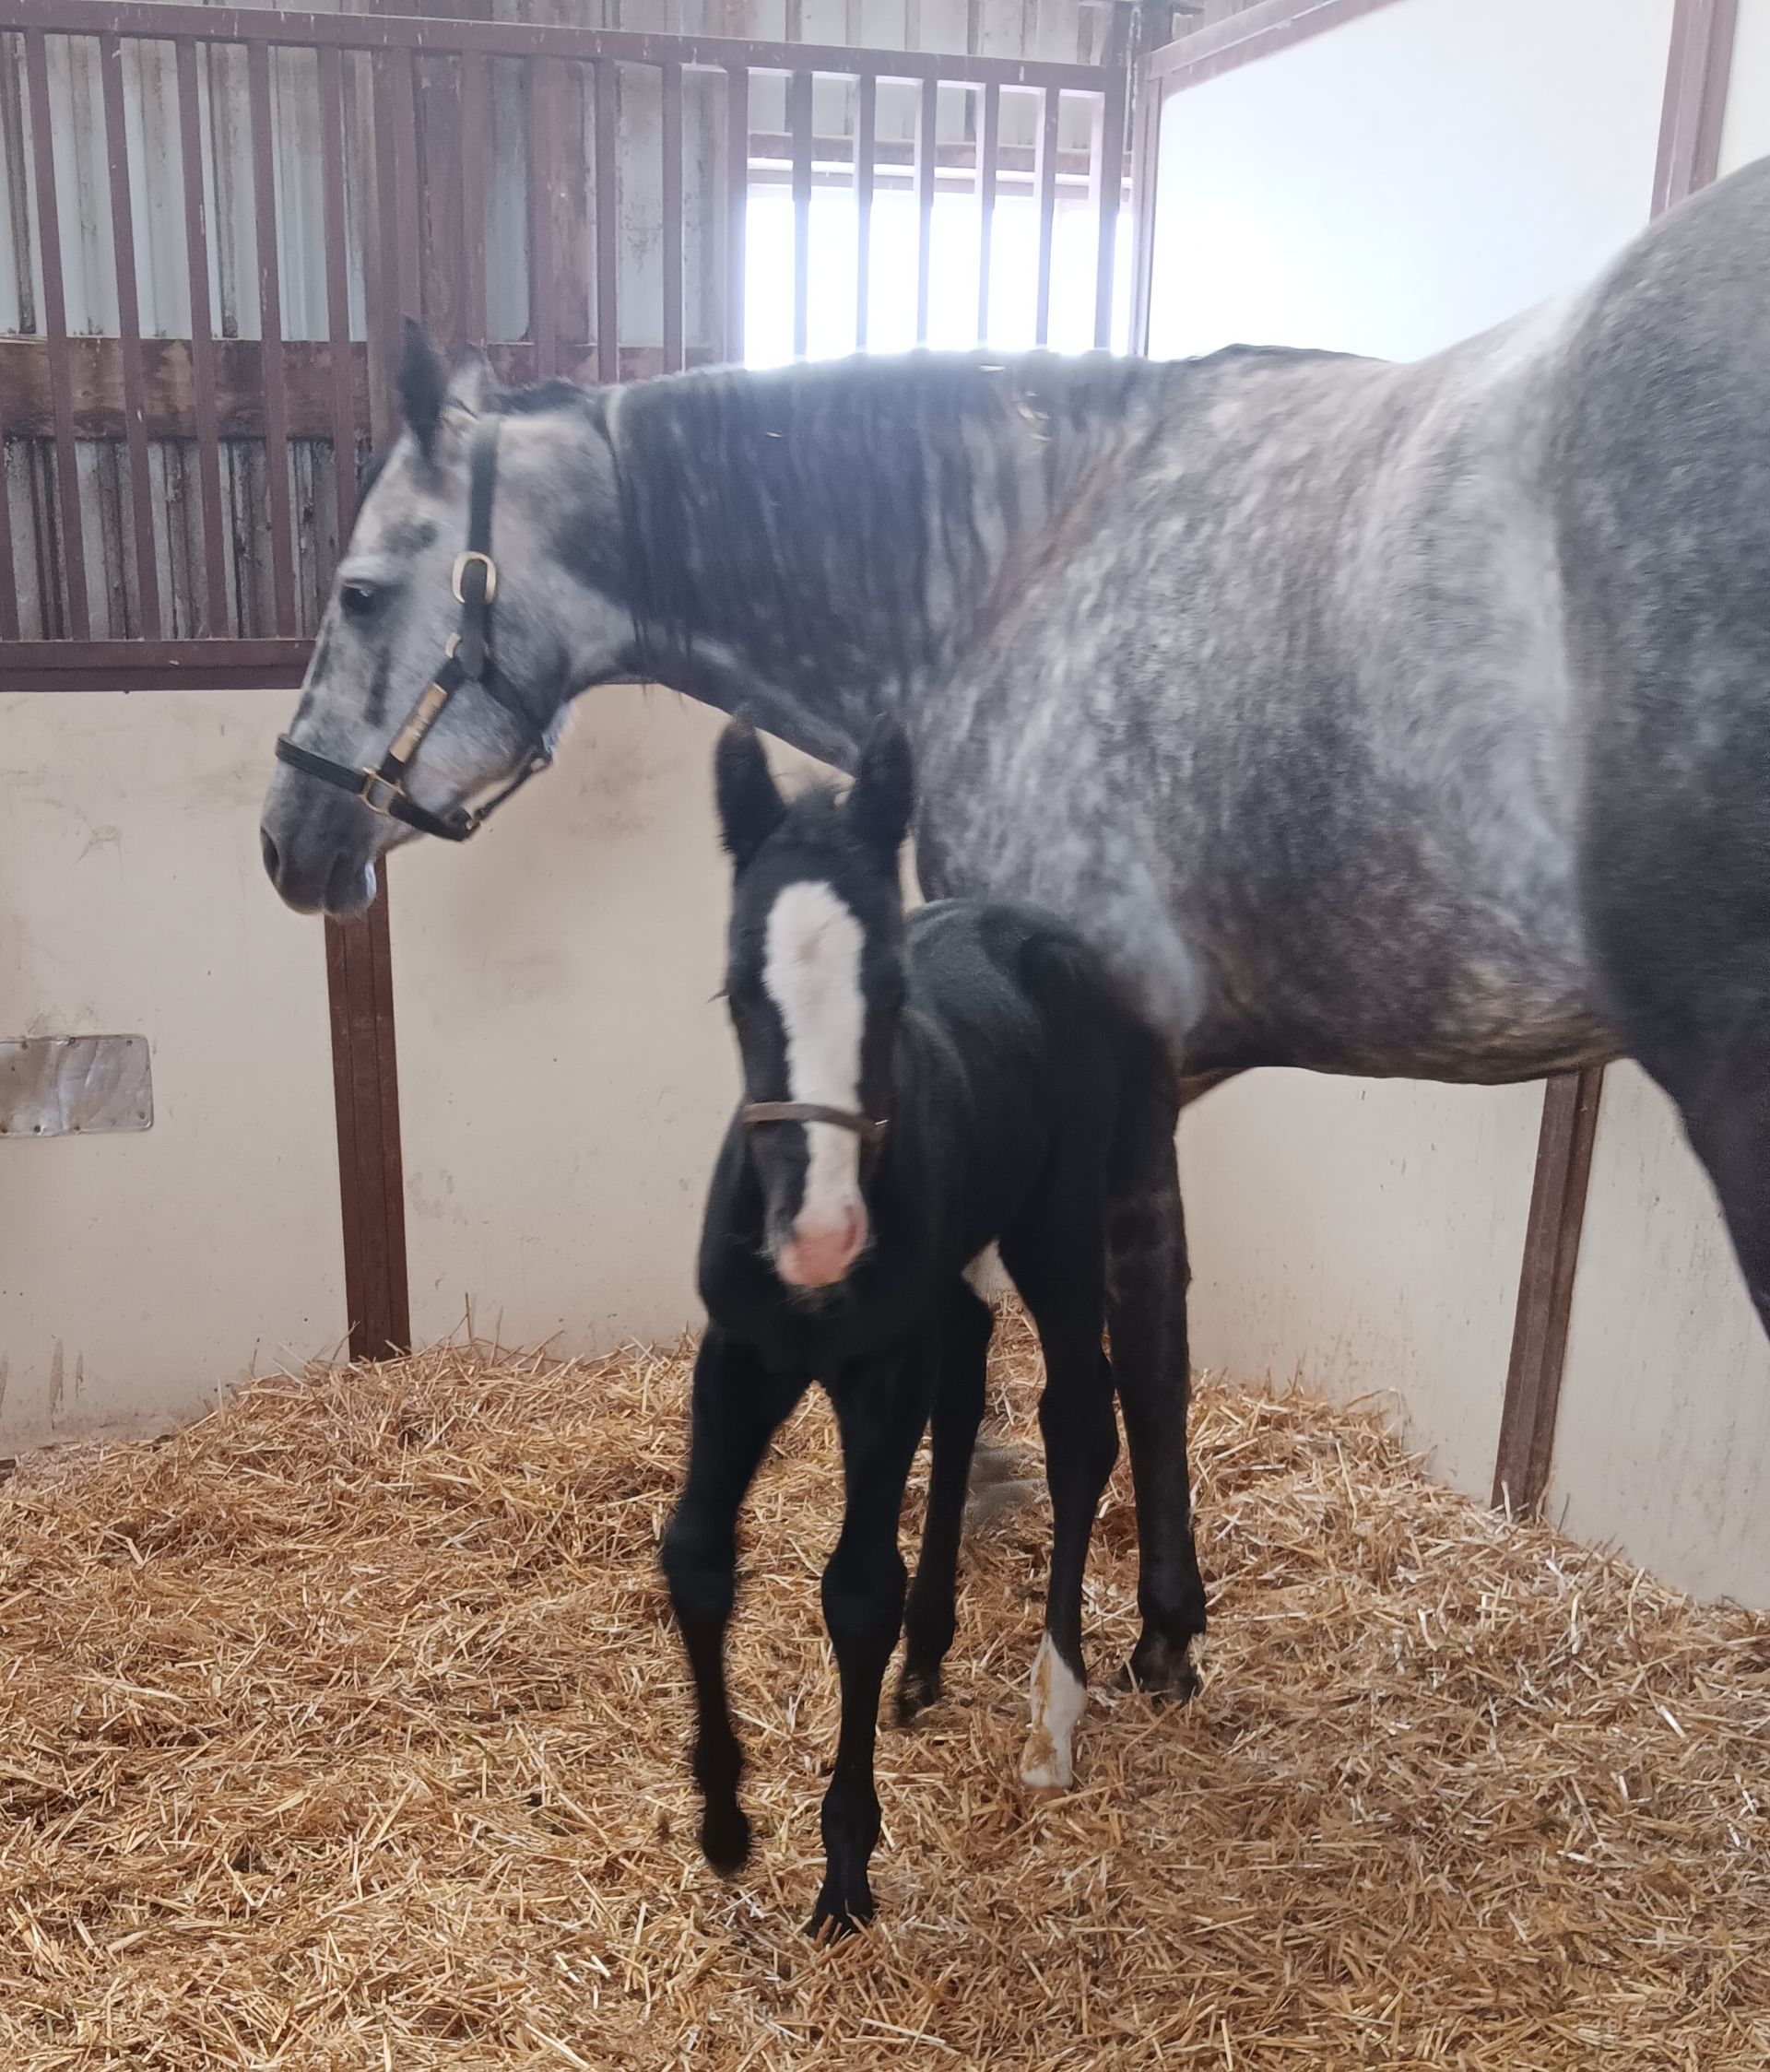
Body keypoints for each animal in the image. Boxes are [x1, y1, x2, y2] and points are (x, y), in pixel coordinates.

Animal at [263, 153, 1770, 1695]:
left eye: (362, 592)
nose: (291, 837)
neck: (1027, 563)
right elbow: (1148, 1350)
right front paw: (1157, 1607)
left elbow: (1099, 1365)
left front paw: (1109, 1613)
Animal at [661, 714, 1186, 1936]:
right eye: (736, 988)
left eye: (894, 989)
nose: (819, 1238)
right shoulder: (740, 1356)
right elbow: (696, 1553)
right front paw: (724, 1821)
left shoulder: (876, 1368)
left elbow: (857, 1588)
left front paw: (846, 1869)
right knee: (965, 1402)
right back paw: (928, 1660)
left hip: (1057, 1229)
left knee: (1080, 1421)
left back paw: (1053, 1718)